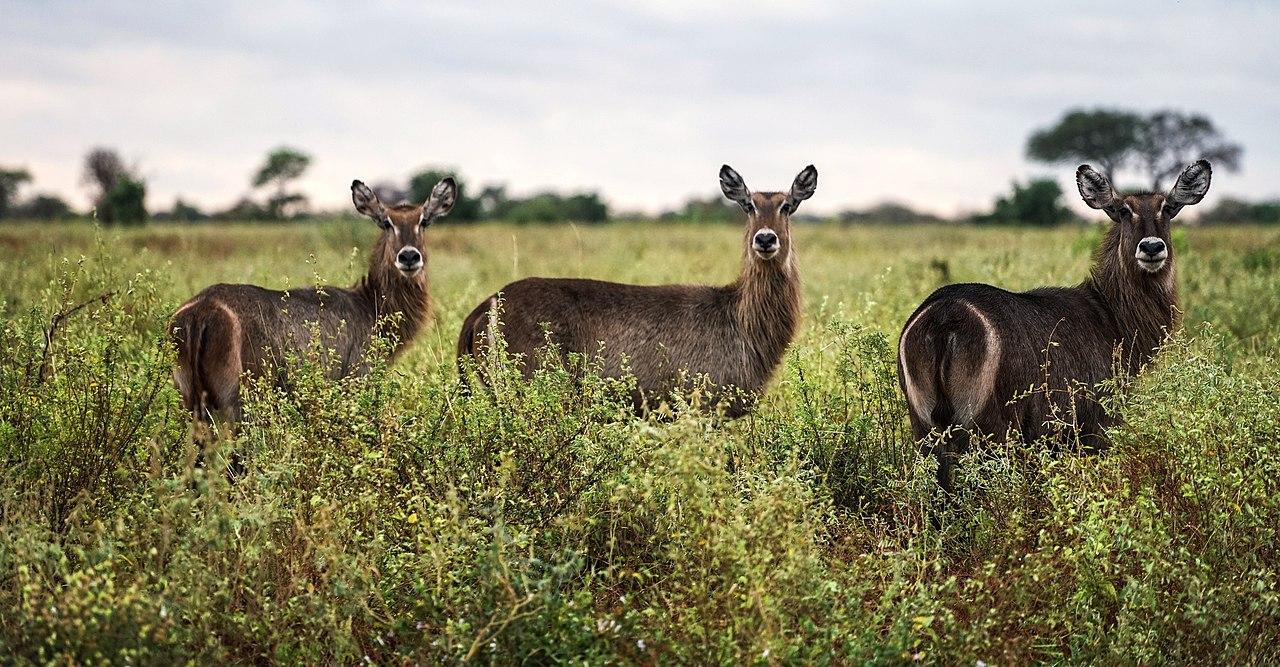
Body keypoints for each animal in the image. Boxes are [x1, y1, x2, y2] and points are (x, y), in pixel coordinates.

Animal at [167, 176, 453, 425]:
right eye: (386, 222)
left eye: (424, 221)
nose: (409, 256)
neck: (370, 306)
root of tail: (200, 312)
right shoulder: (357, 377)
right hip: (235, 401)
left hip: (191, 400)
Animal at [901, 158, 1208, 486]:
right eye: (1124, 210)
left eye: (1168, 207)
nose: (1151, 247)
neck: (1110, 314)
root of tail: (945, 318)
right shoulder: (1098, 423)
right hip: (989, 427)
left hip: (924, 427)